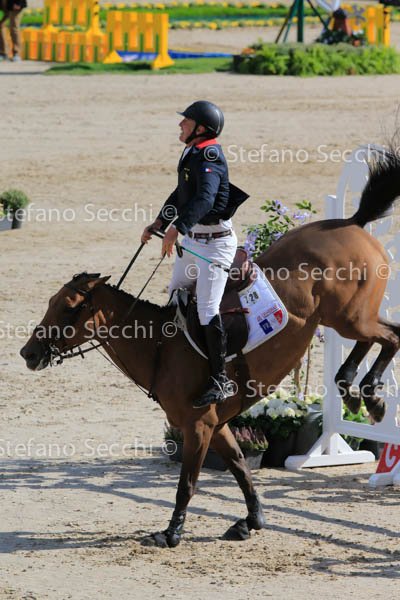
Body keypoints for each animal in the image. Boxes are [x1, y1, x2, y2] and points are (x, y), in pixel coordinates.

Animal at [20, 147, 400, 548]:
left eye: (68, 307)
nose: (28, 353)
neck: (159, 344)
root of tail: (353, 223)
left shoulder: (199, 425)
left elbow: (186, 484)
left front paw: (171, 532)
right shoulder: (217, 426)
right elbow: (240, 468)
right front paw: (251, 520)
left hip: (349, 317)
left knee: (389, 337)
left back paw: (369, 394)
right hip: (345, 317)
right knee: (380, 336)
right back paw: (352, 388)